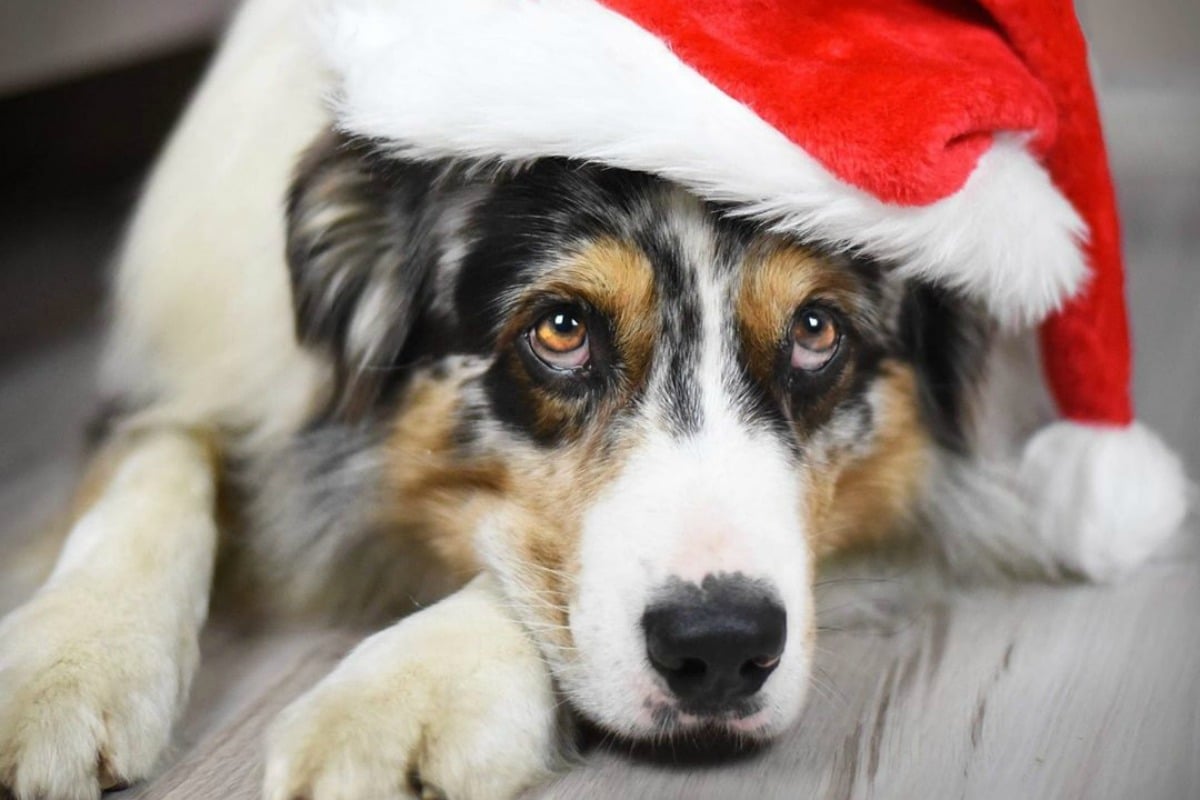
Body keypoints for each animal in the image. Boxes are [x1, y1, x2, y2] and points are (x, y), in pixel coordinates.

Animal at [0, 1, 1132, 800]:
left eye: (818, 330)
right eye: (560, 330)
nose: (721, 650)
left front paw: (402, 692)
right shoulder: (190, 362)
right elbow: (147, 475)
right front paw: (65, 661)